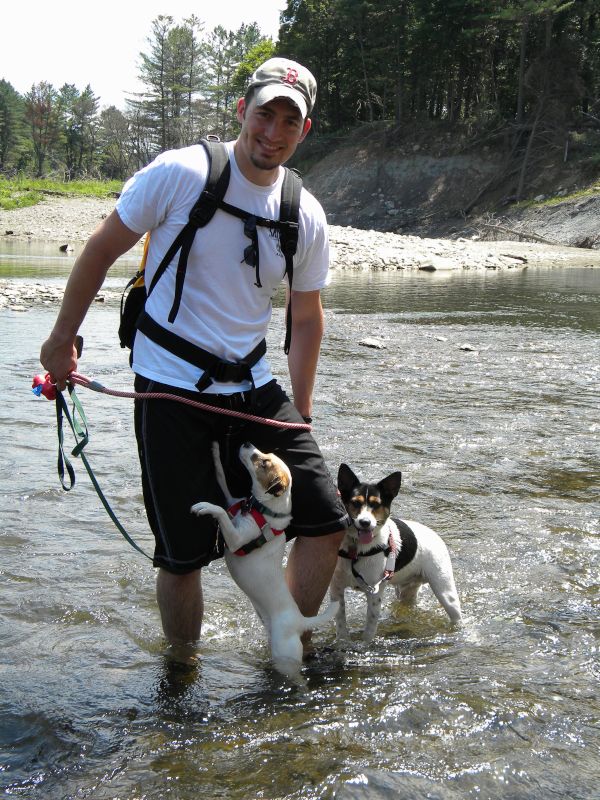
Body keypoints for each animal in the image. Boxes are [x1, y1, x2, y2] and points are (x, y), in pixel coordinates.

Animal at [191, 442, 338, 676]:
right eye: (267, 455)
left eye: (264, 462)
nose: (246, 443)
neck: (263, 510)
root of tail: (299, 621)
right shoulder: (233, 502)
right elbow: (222, 480)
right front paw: (215, 454)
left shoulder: (236, 540)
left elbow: (221, 511)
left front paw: (206, 506)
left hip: (285, 657)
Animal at [330, 463, 462, 644]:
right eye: (355, 503)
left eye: (376, 504)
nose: (365, 522)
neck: (356, 549)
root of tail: (434, 535)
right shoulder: (336, 588)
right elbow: (341, 622)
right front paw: (343, 643)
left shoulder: (374, 593)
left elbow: (370, 628)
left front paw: (365, 645)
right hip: (406, 591)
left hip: (444, 591)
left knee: (456, 614)